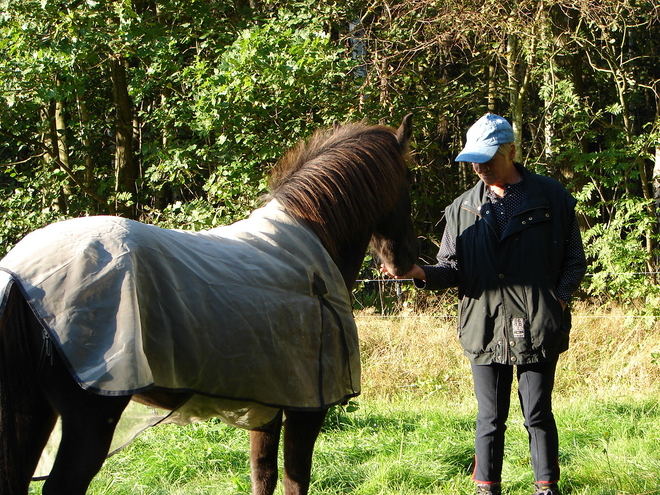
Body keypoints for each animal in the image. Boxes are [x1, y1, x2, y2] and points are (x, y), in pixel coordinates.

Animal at [0, 113, 418, 495]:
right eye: (410, 181)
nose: (406, 261)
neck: (311, 243)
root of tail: (19, 276)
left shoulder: (268, 403)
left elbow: (263, 475)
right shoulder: (307, 409)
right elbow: (294, 480)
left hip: (36, 414)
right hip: (90, 418)